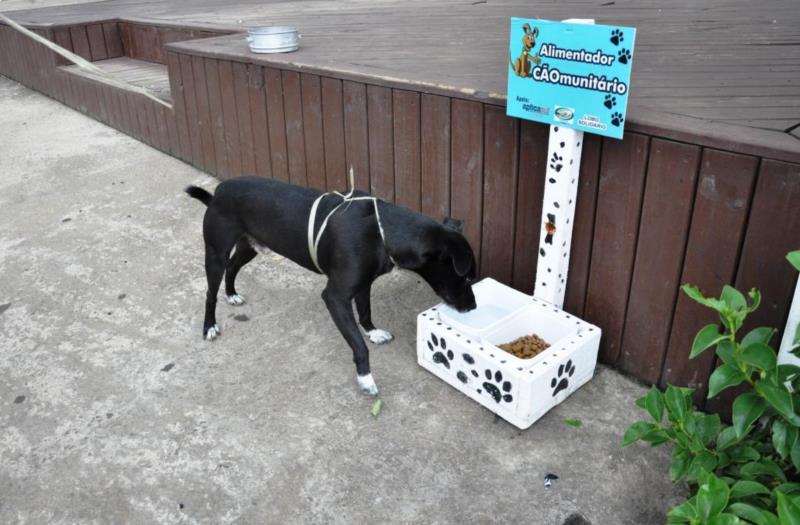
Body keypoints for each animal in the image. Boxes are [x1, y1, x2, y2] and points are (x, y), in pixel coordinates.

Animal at [188, 176, 476, 392]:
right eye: (466, 277)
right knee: (210, 291)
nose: (473, 307)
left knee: (232, 267)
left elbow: (365, 312)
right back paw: (209, 325)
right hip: (215, 252)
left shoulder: (363, 284)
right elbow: (358, 345)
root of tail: (218, 193)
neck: (383, 232)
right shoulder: (335, 297)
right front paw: (365, 378)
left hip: (250, 246)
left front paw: (372, 332)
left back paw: (231, 293)